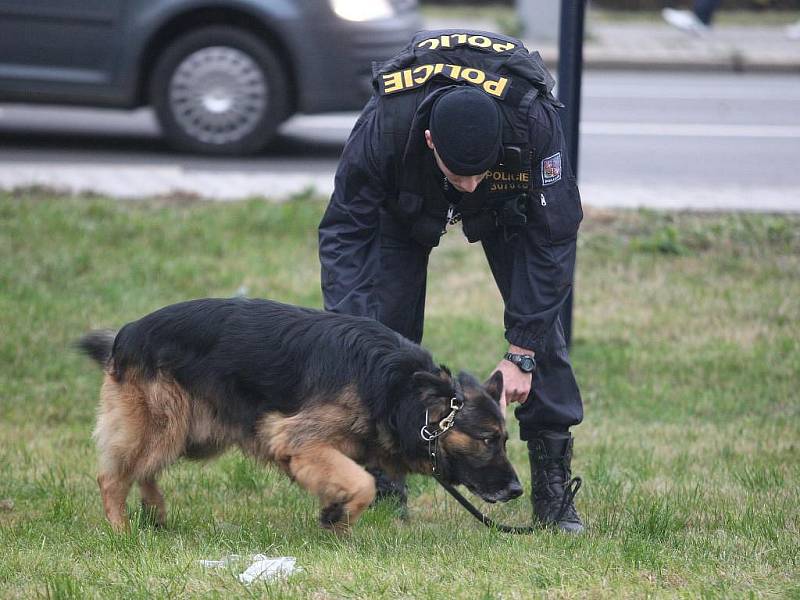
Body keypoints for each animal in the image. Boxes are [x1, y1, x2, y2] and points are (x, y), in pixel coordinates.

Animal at [78, 298, 520, 532]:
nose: (517, 490)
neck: (397, 390)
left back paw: (155, 514)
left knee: (145, 470)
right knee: (113, 477)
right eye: (487, 440)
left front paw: (333, 515)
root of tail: (128, 332)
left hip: (192, 435)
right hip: (166, 425)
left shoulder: (317, 452)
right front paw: (341, 517)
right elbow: (363, 484)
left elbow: (348, 481)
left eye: (505, 440)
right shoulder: (296, 438)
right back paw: (122, 532)